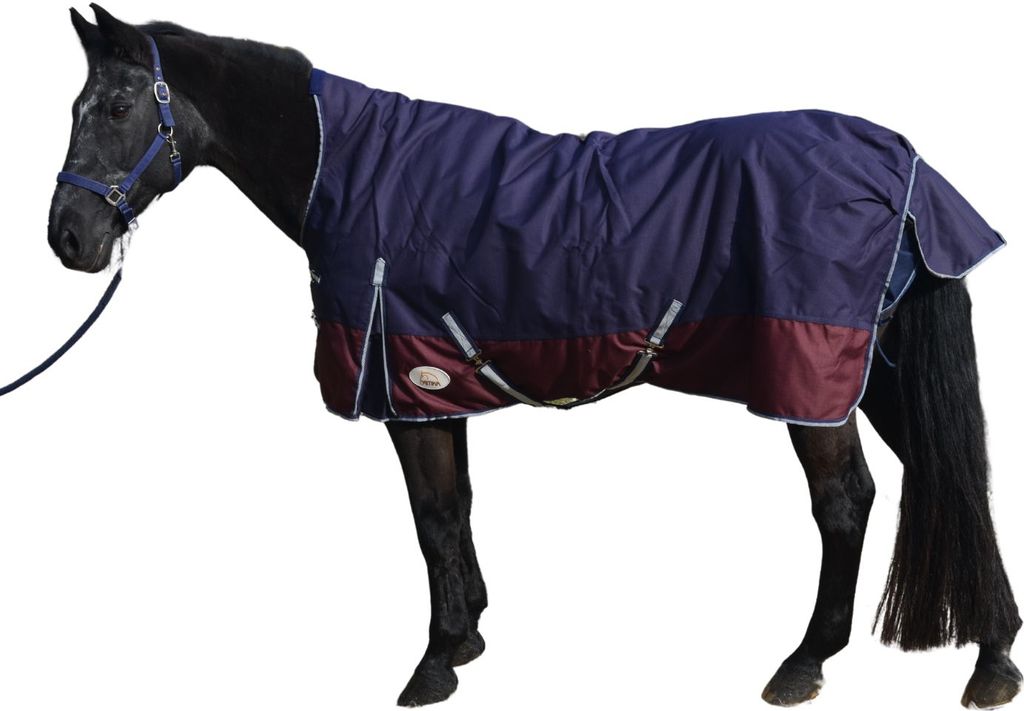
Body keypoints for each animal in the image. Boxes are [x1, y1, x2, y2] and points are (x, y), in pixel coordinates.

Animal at [44, 5, 1021, 708]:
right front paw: (469, 634)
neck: (345, 171)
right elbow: (459, 510)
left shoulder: (401, 387)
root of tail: (901, 164)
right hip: (873, 373)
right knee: (950, 472)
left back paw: (806, 660)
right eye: (74, 110)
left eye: (120, 106)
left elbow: (433, 516)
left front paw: (433, 663)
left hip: (814, 379)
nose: (69, 237)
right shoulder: (436, 383)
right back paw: (992, 656)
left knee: (845, 502)